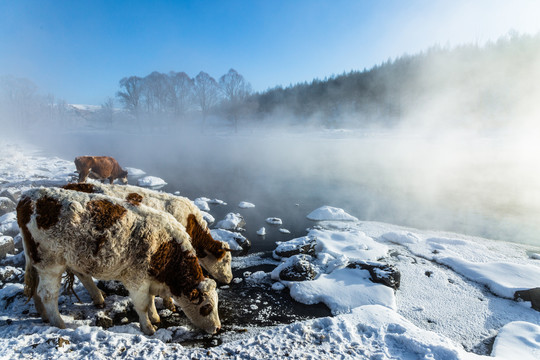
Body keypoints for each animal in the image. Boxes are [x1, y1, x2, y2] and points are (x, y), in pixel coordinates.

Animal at [15, 187, 220, 336]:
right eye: (206, 307)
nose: (217, 328)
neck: (165, 247)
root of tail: (28, 197)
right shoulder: (136, 279)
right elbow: (143, 305)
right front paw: (149, 327)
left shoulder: (149, 278)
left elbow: (151, 300)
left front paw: (155, 317)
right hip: (50, 264)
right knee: (47, 294)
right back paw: (60, 324)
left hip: (38, 261)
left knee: (35, 288)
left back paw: (44, 315)